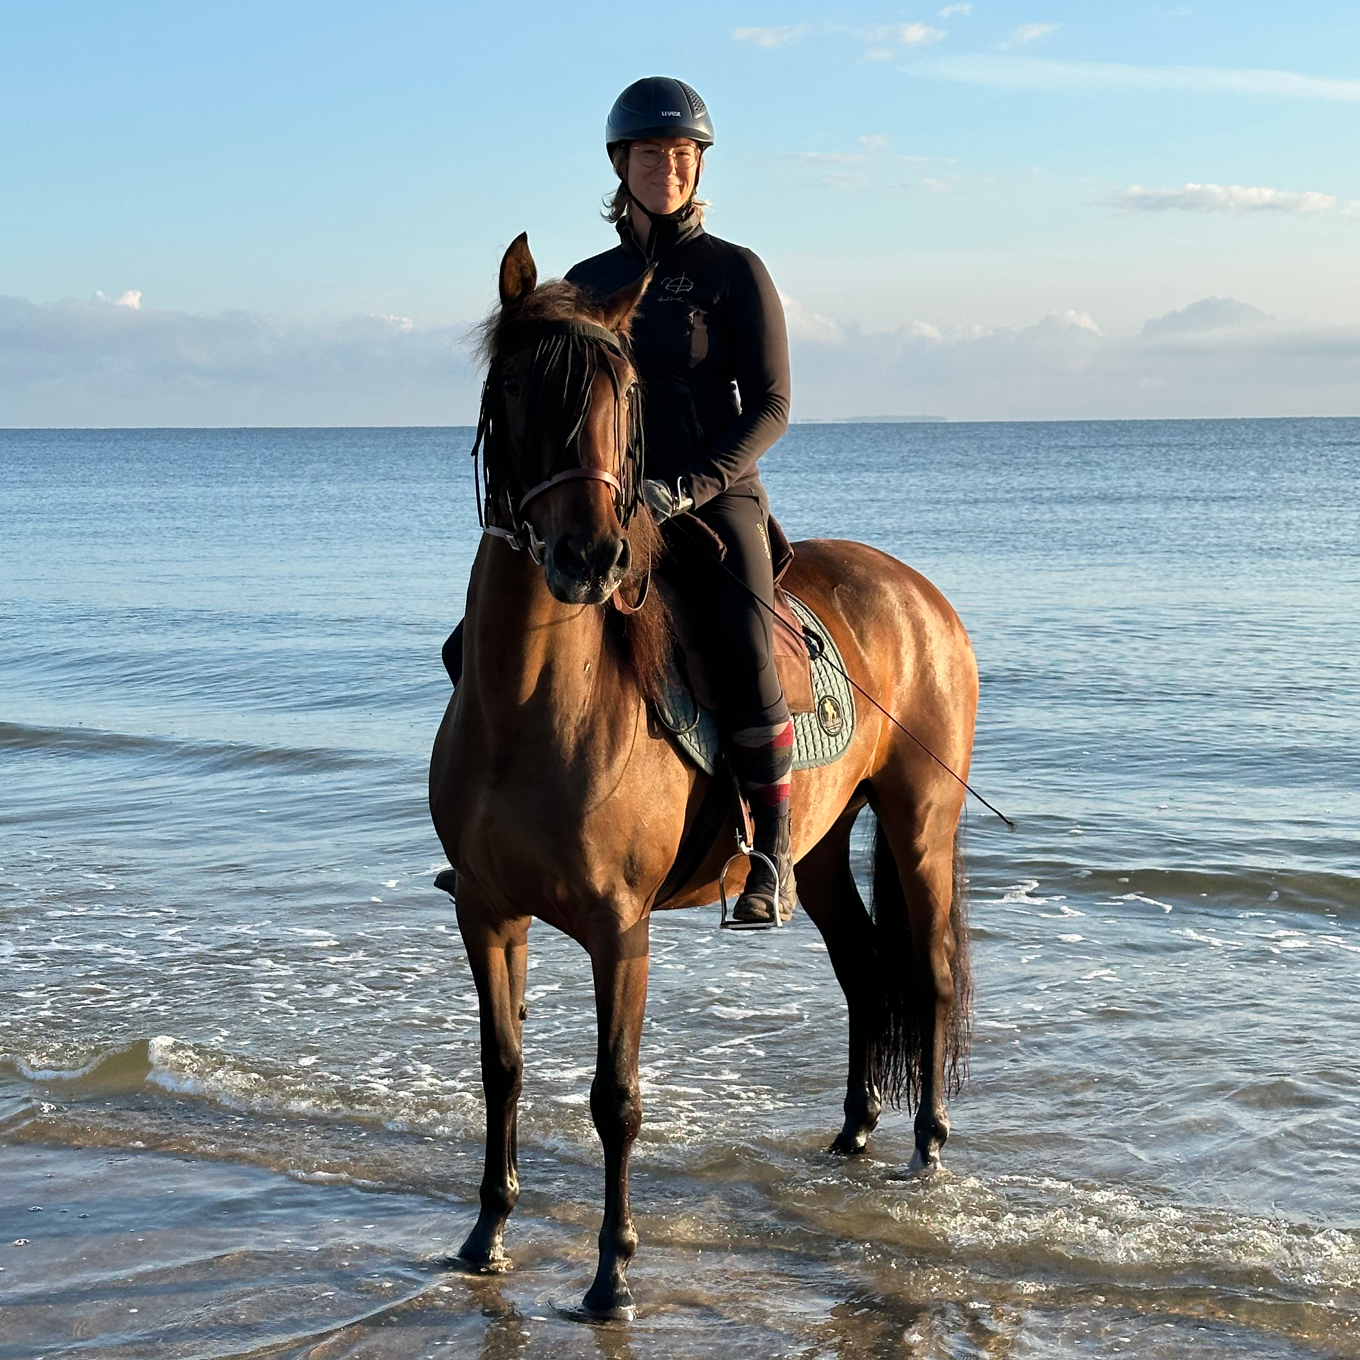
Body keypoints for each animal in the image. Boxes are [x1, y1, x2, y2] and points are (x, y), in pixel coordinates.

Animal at [429, 234, 979, 1322]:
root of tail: (921, 596)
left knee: (929, 973)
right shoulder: (485, 909)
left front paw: (612, 1273)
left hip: (919, 821)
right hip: (817, 848)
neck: (531, 708)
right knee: (862, 964)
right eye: (514, 386)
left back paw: (925, 1149)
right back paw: (853, 1132)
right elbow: (501, 1067)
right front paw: (487, 1234)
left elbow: (615, 1097)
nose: (590, 555)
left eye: (624, 394)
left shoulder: (619, 927)